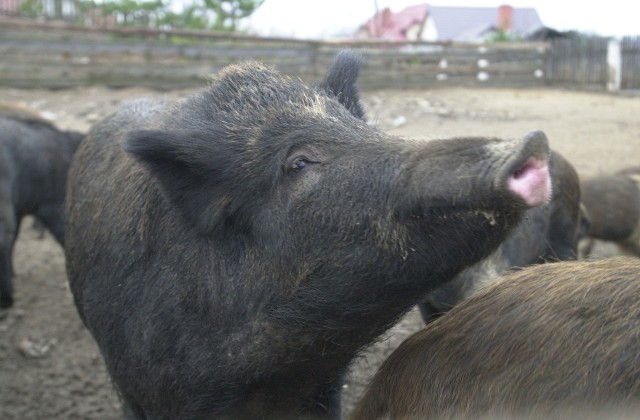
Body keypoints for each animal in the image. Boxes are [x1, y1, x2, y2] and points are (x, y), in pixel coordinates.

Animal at [65, 50, 552, 418]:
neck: (273, 378)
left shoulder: (324, 389)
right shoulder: (147, 386)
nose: (532, 142)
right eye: (299, 162)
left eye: (364, 128)